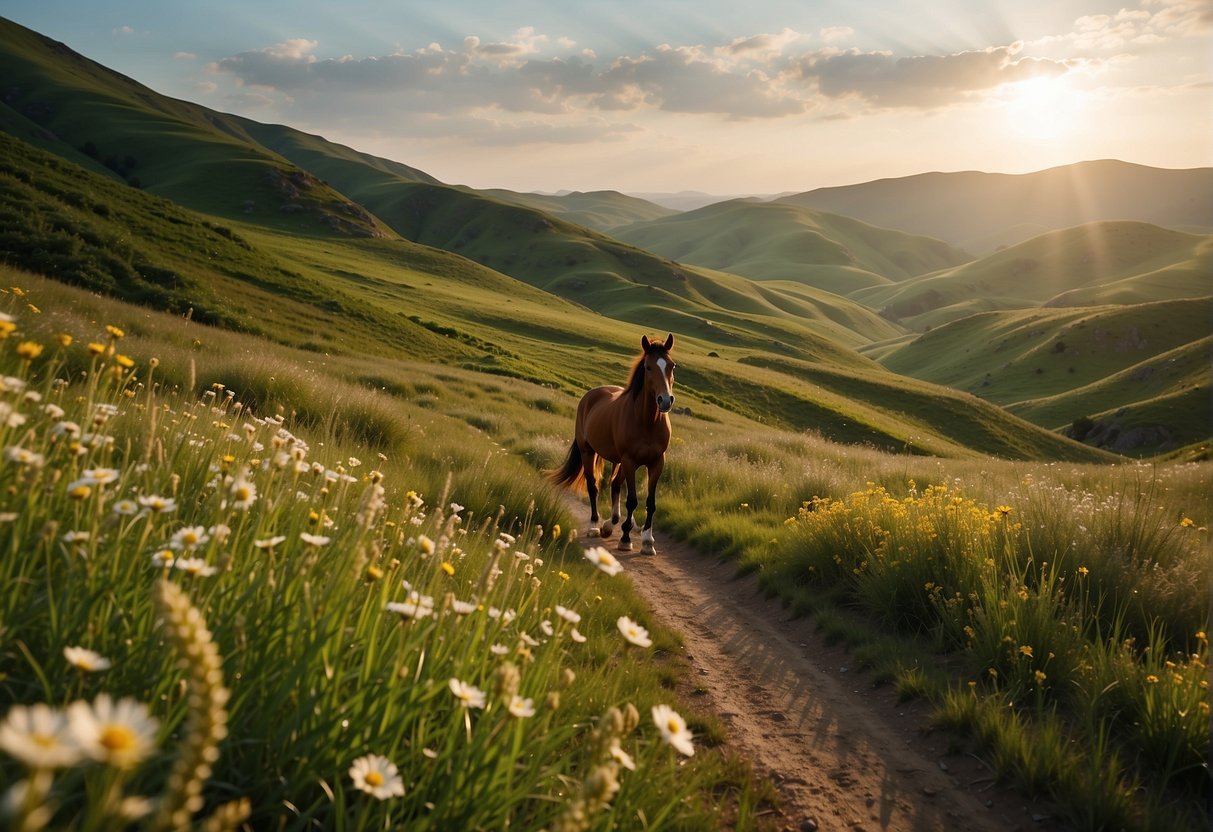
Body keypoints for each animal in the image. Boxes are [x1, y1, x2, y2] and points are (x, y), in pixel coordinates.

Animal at [549, 334, 676, 556]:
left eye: (672, 365)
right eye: (648, 367)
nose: (665, 401)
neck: (647, 422)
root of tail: (591, 395)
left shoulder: (656, 462)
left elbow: (650, 503)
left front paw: (647, 541)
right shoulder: (630, 461)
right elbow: (632, 500)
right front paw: (625, 539)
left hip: (618, 461)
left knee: (615, 484)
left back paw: (614, 524)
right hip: (589, 452)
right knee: (593, 487)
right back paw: (595, 526)